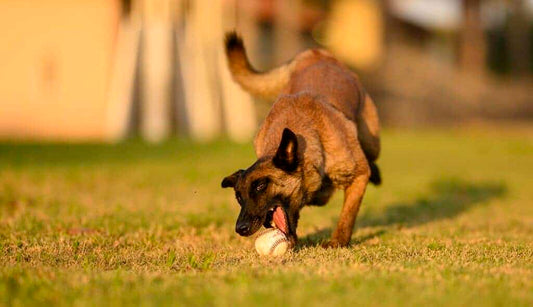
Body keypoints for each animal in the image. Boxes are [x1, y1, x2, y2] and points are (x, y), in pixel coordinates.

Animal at [222, 31, 380, 248]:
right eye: (238, 196)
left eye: (261, 186)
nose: (241, 229)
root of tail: (316, 53)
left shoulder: (359, 175)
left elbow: (348, 213)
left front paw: (338, 241)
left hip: (372, 141)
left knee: (372, 157)